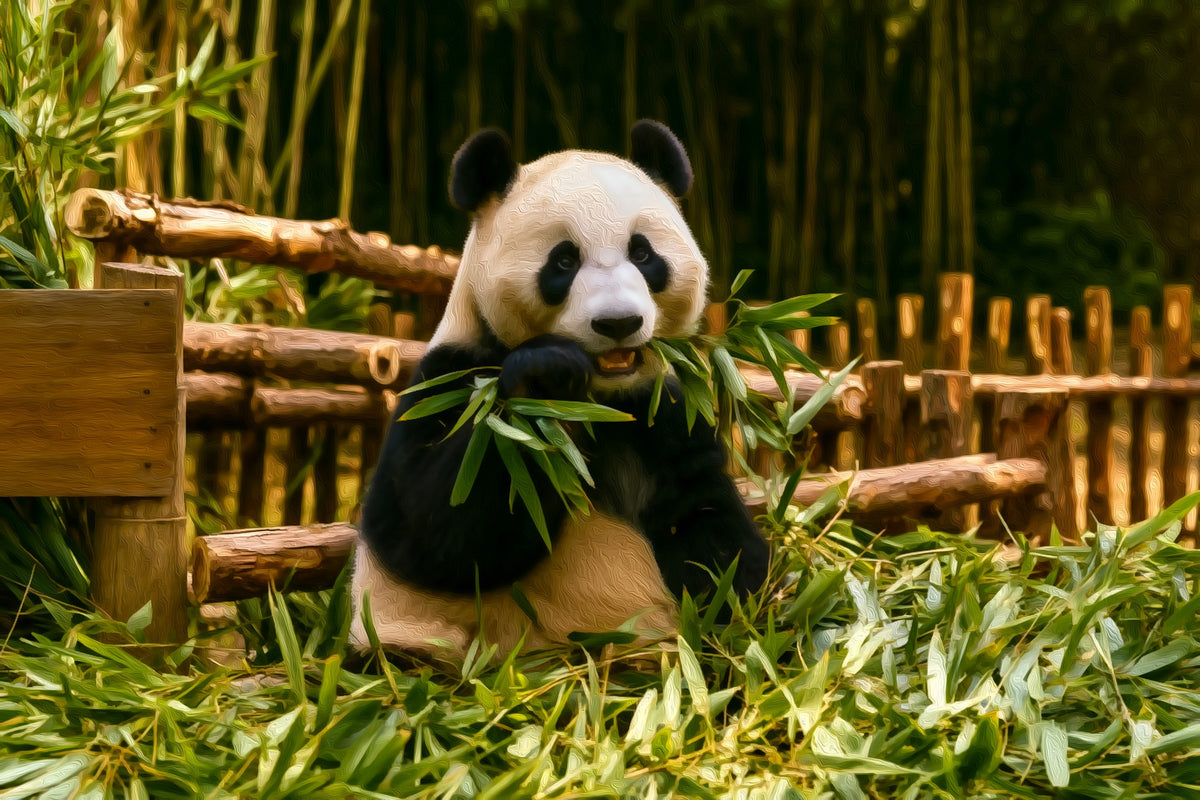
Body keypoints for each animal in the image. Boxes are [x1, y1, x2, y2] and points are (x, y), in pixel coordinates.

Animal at [349, 119, 770, 664]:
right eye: (564, 261)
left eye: (642, 253)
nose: (618, 323)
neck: (601, 399)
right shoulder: (452, 375)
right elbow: (428, 530)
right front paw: (544, 376)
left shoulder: (661, 409)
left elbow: (703, 517)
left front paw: (739, 620)